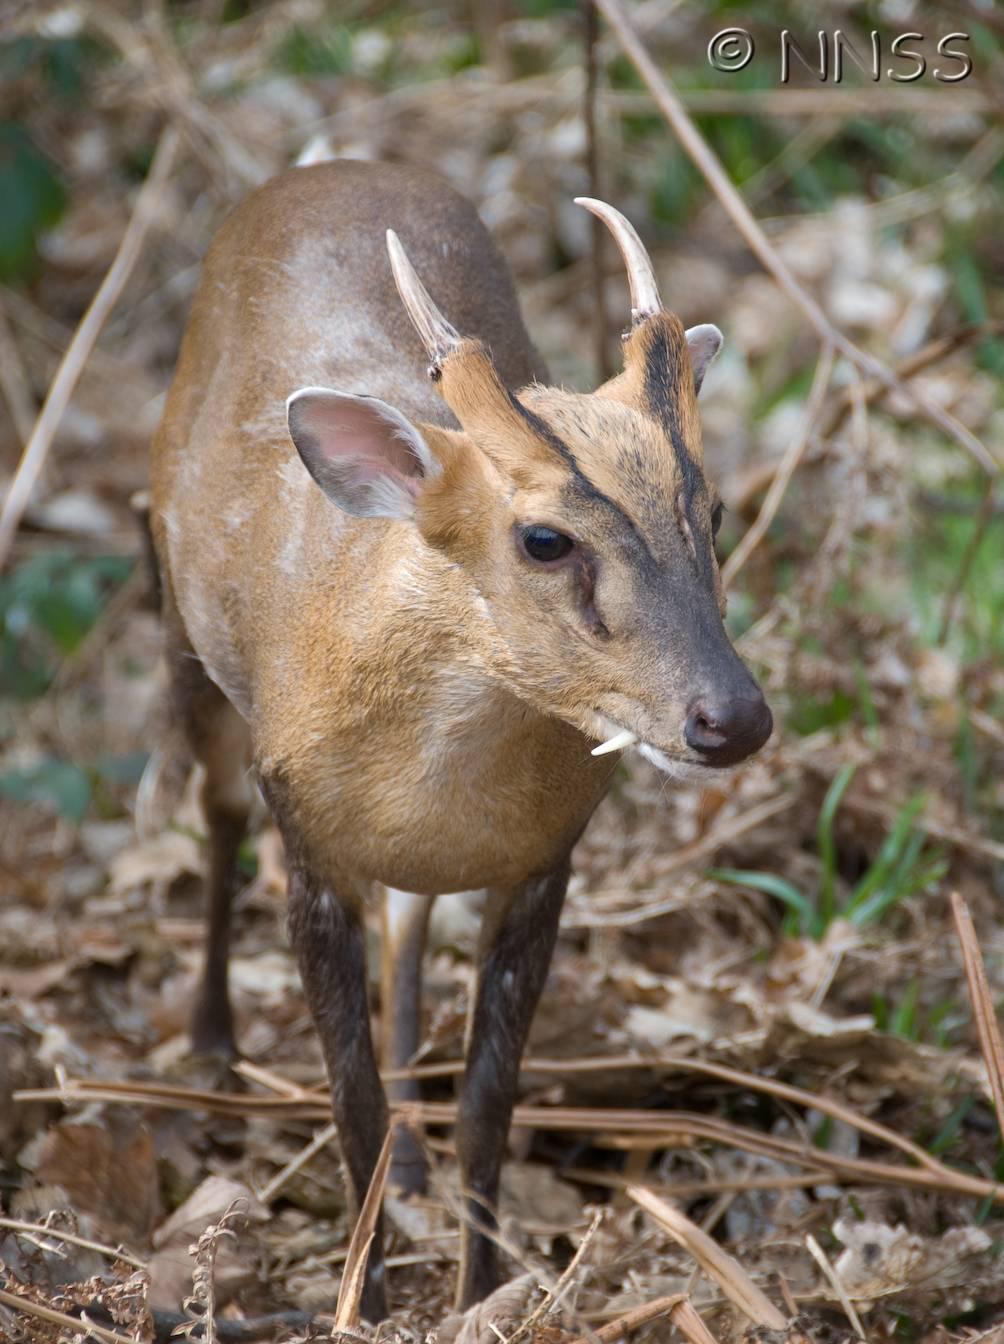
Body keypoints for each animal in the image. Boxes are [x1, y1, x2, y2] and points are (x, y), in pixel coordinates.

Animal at [149, 159, 774, 1322]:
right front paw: (365, 1301)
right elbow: (346, 1101)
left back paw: (410, 1167)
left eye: (711, 513)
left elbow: (488, 1102)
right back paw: (211, 1045)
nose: (732, 717)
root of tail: (334, 165)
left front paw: (481, 1289)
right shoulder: (306, 838)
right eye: (543, 538)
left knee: (407, 922)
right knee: (213, 814)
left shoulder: (543, 859)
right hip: (178, 621)